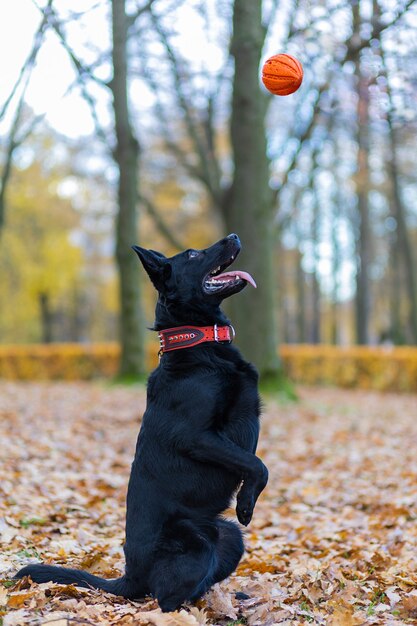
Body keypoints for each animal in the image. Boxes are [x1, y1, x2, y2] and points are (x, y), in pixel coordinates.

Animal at [15, 233, 266, 608]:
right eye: (194, 254)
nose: (235, 236)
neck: (198, 345)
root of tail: (130, 576)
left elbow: (255, 463)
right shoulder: (197, 437)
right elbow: (257, 465)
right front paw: (247, 504)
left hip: (229, 536)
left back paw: (225, 601)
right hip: (196, 545)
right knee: (163, 597)